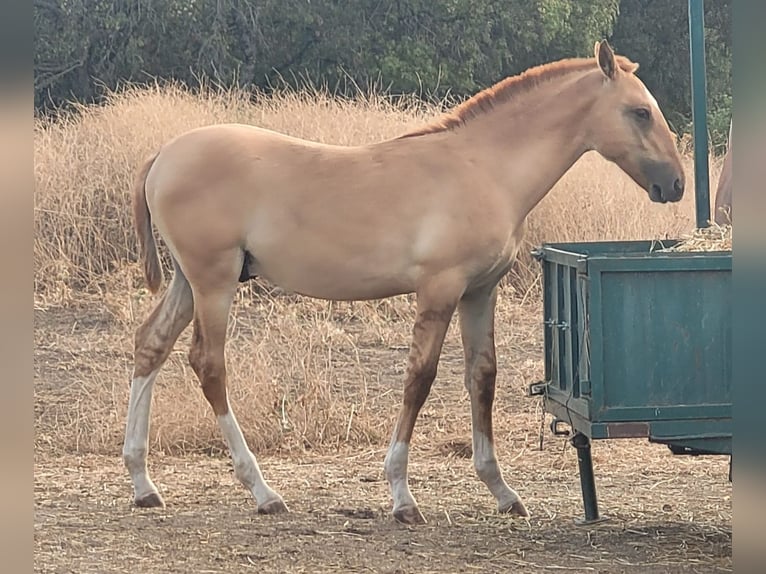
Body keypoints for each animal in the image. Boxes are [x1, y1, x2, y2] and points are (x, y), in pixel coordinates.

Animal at [123, 40, 688, 528]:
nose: (676, 183)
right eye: (640, 112)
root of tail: (162, 155)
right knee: (208, 364)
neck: (483, 168)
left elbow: (482, 377)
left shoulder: (480, 292)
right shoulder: (439, 289)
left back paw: (143, 483)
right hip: (213, 282)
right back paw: (262, 491)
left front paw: (502, 491)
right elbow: (420, 379)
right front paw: (402, 496)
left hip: (188, 282)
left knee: (151, 346)